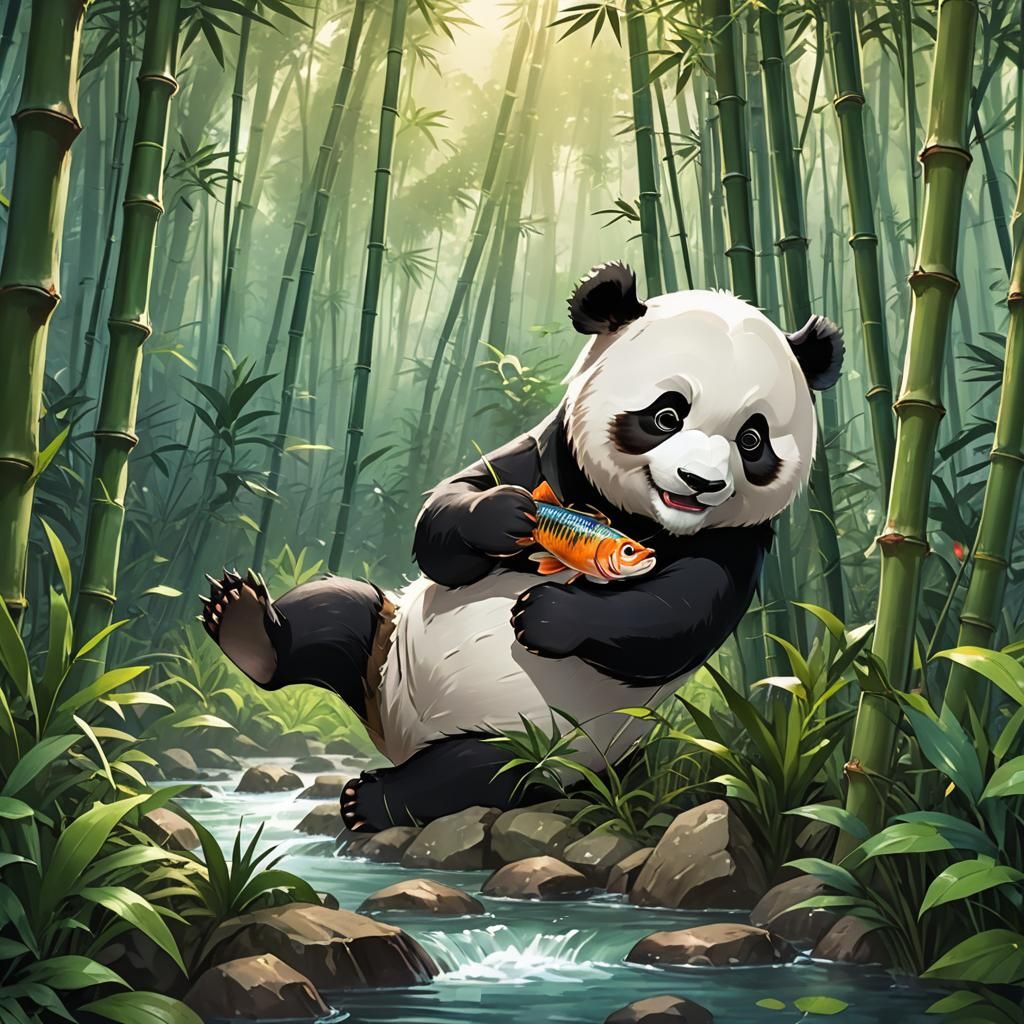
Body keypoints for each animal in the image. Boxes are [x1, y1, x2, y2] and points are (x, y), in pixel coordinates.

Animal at [202, 263, 843, 833]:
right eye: (666, 414)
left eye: (752, 440)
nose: (700, 482)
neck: (632, 517)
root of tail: (394, 733)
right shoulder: (547, 453)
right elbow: (444, 517)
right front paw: (501, 517)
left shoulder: (737, 545)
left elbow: (676, 617)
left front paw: (548, 615)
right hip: (389, 646)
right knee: (339, 611)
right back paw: (246, 626)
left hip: (548, 746)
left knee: (475, 774)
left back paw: (375, 799)